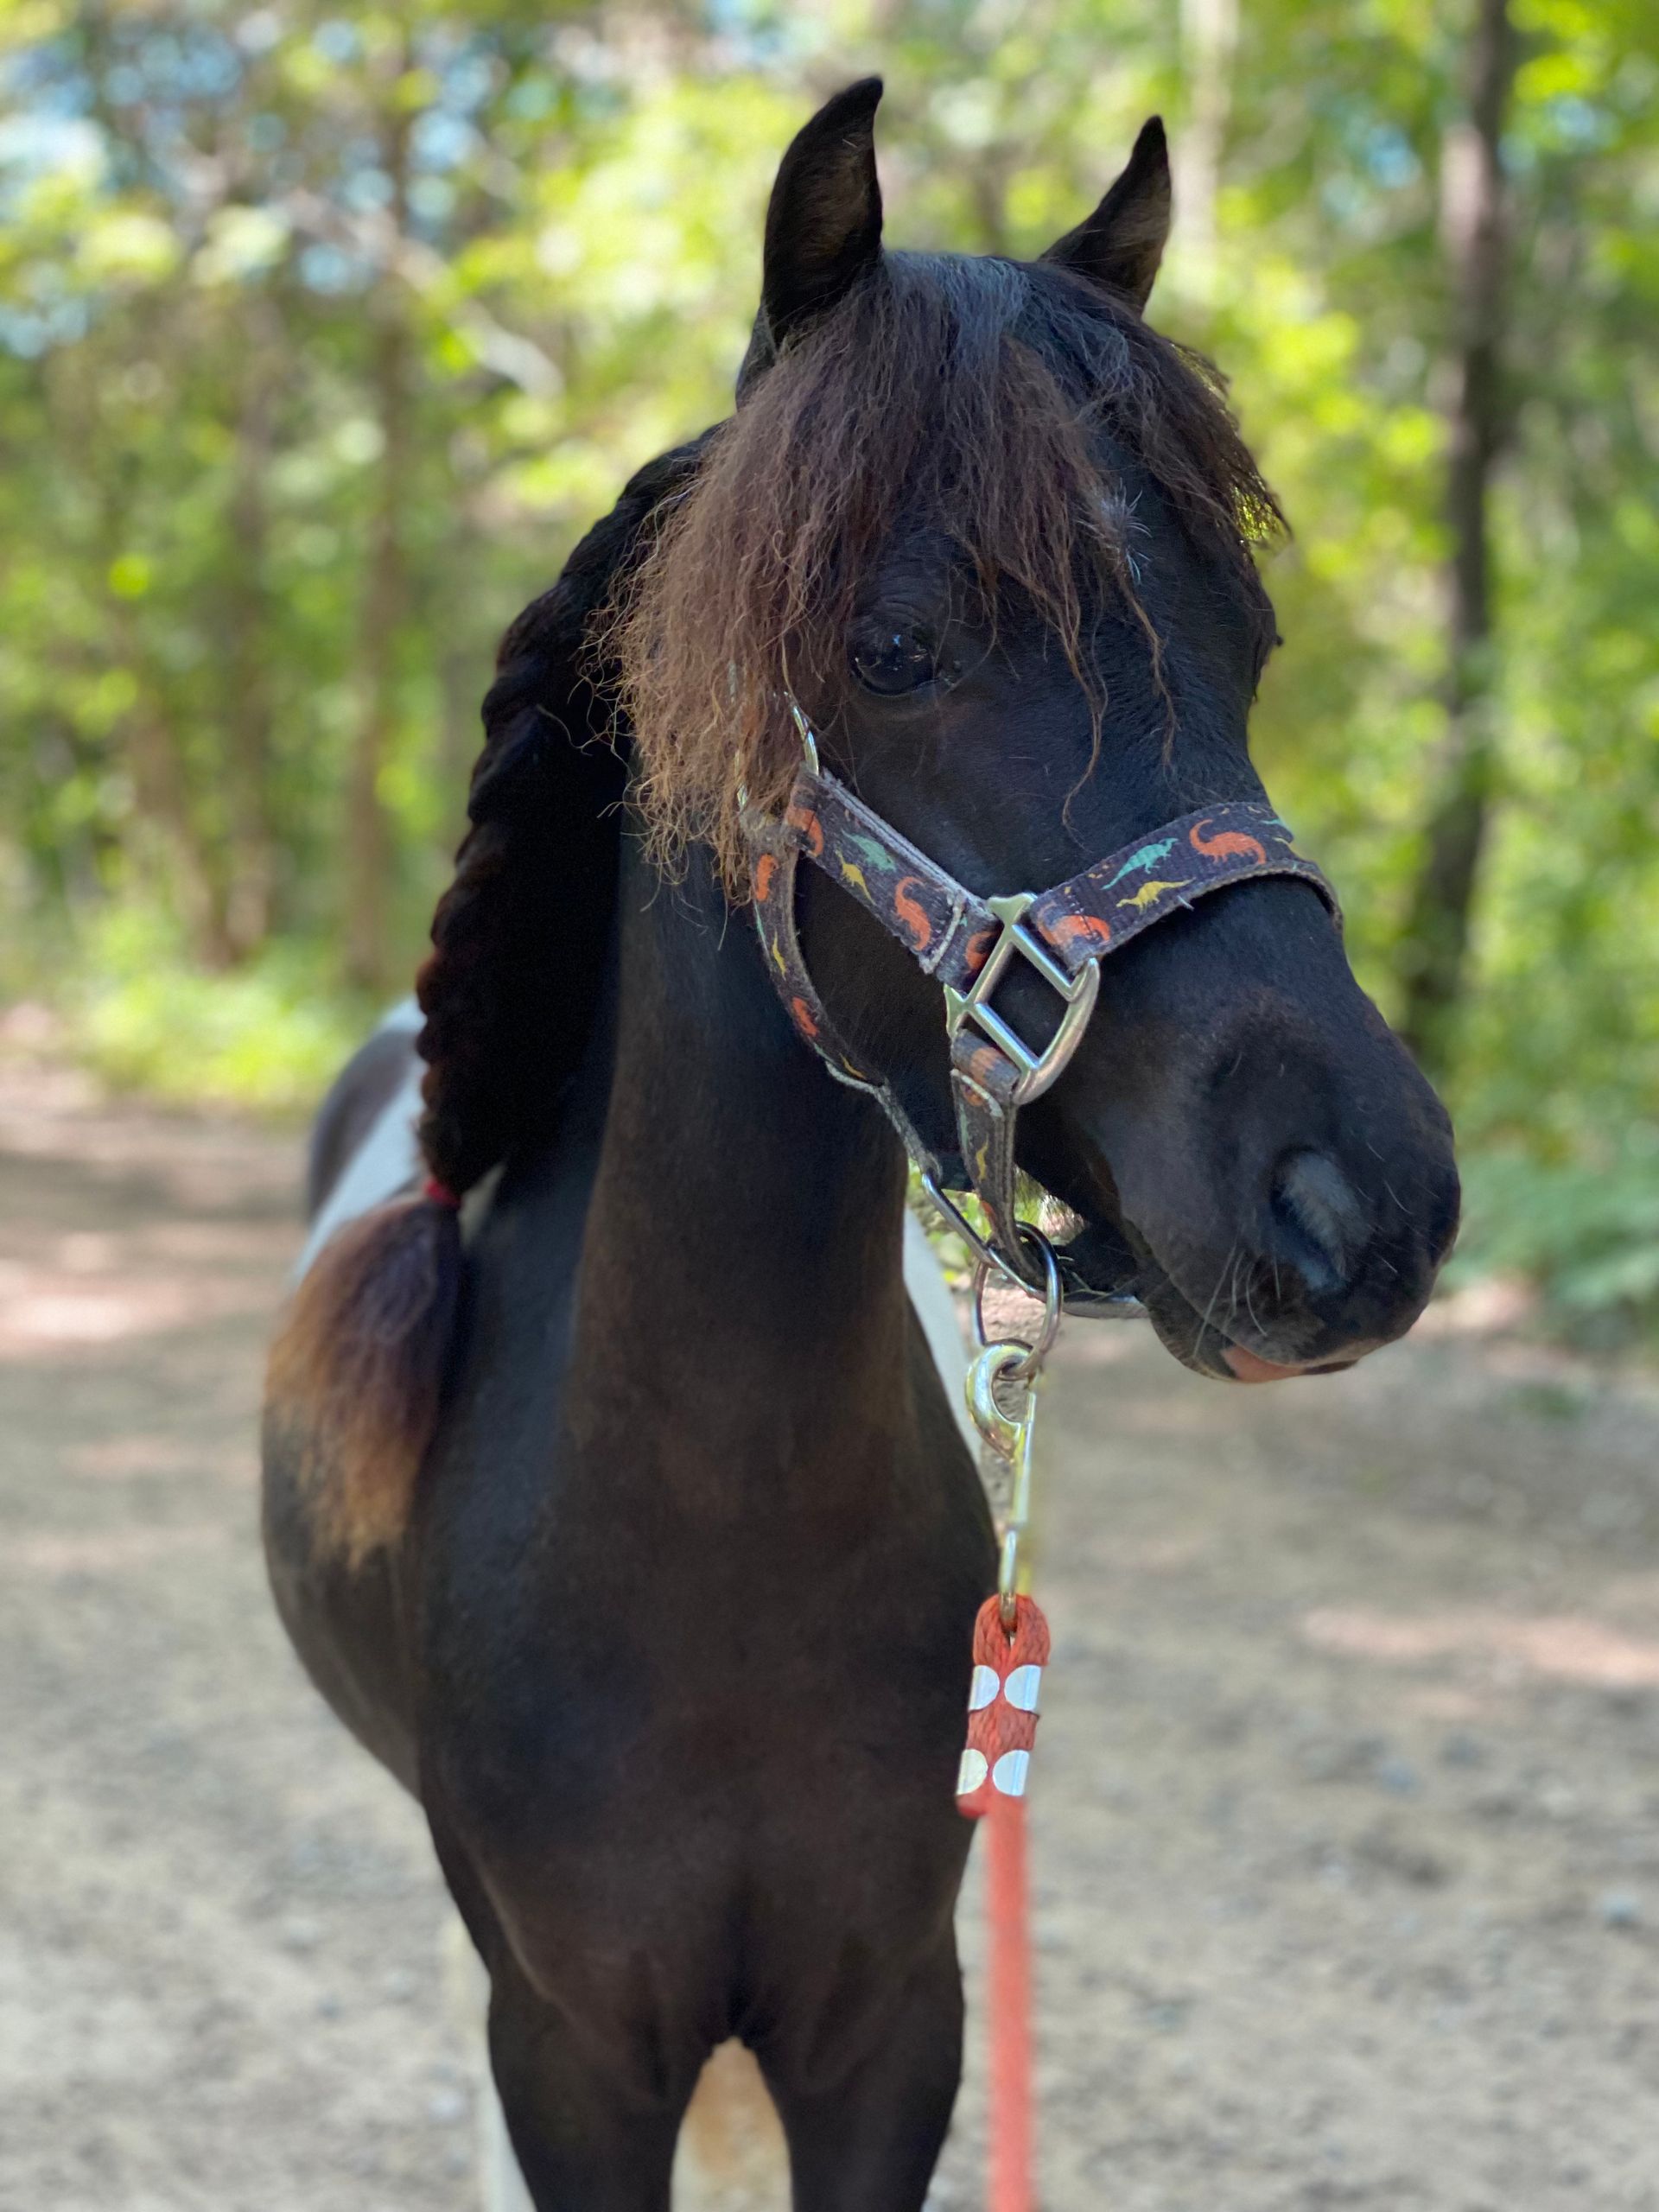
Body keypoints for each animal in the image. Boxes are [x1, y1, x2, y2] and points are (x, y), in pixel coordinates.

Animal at [259, 81, 1451, 2212]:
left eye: (1248, 638)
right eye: (898, 646)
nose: (1360, 1204)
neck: (716, 1525)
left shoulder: (892, 2025)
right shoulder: (575, 2046)